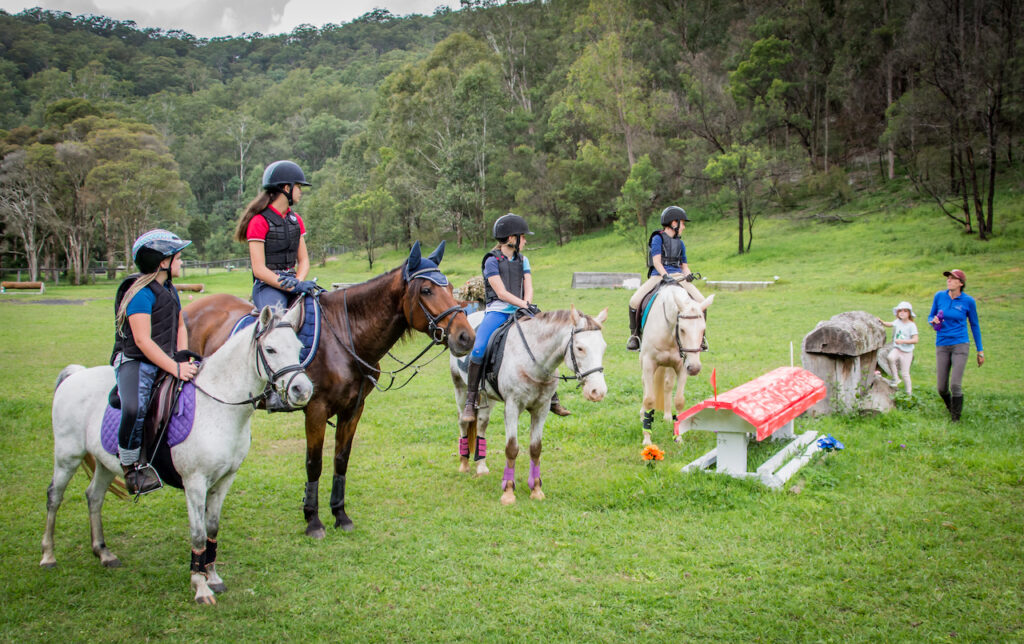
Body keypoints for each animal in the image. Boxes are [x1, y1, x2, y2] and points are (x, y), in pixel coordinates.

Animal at [40, 307, 311, 602]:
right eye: (271, 349)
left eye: (299, 348)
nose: (302, 390)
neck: (218, 405)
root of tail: (75, 374)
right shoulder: (195, 482)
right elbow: (198, 534)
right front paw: (200, 586)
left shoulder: (224, 480)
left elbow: (212, 529)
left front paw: (213, 577)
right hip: (67, 455)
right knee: (54, 497)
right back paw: (48, 555)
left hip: (104, 462)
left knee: (94, 496)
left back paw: (103, 553)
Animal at [183, 243, 471, 536]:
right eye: (426, 290)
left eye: (450, 288)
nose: (466, 337)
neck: (345, 337)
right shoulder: (316, 410)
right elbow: (314, 463)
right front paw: (313, 519)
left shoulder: (353, 409)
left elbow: (340, 459)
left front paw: (340, 514)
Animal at [450, 303, 606, 505]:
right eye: (579, 348)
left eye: (603, 347)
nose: (598, 391)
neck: (531, 358)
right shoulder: (512, 407)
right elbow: (511, 449)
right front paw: (508, 492)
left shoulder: (542, 409)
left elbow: (535, 449)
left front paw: (536, 489)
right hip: (460, 387)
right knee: (464, 421)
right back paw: (464, 464)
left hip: (486, 397)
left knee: (482, 425)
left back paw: (481, 466)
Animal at [634, 284, 716, 444]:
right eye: (682, 329)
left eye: (703, 330)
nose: (695, 368)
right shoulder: (648, 363)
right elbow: (649, 399)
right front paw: (647, 439)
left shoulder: (682, 365)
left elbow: (679, 400)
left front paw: (678, 437)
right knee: (645, 384)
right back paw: (642, 414)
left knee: (667, 385)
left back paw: (667, 416)